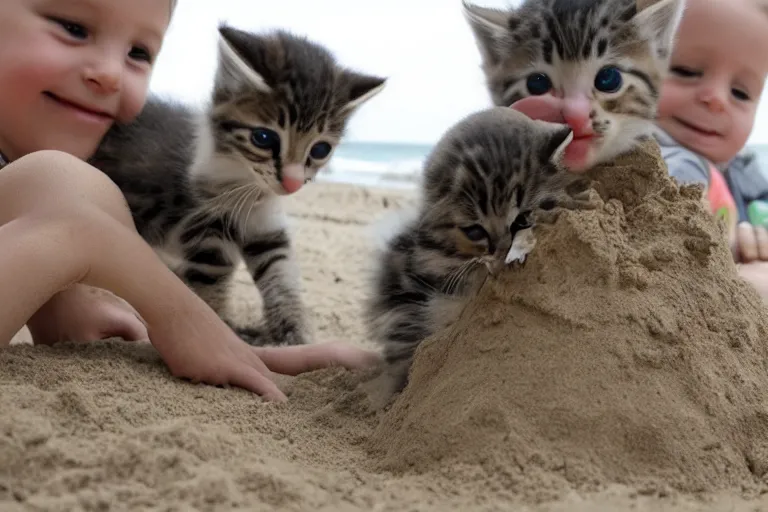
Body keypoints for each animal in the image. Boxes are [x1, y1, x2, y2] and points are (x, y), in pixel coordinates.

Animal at [91, 24, 384, 344]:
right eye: (263, 138)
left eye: (320, 150)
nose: (293, 183)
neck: (249, 185)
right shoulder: (205, 227)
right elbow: (212, 280)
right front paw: (219, 328)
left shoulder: (268, 230)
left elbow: (282, 276)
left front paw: (296, 335)